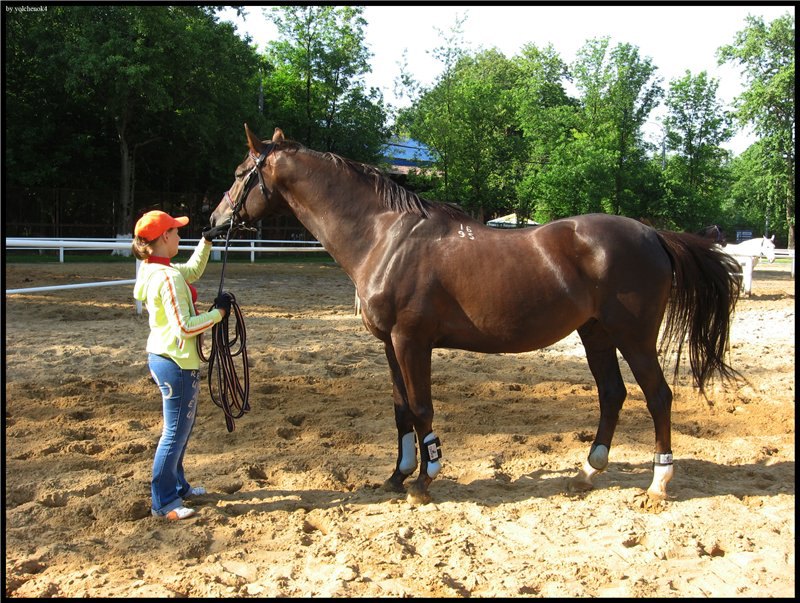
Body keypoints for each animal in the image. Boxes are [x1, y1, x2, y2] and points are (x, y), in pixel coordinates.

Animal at [209, 125, 740, 508]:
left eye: (238, 172)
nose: (214, 223)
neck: (386, 237)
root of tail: (653, 234)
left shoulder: (411, 341)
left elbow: (421, 408)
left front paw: (425, 481)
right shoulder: (389, 345)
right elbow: (401, 409)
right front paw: (397, 475)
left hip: (634, 336)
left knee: (658, 397)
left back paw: (658, 484)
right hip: (595, 334)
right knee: (612, 394)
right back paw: (588, 472)